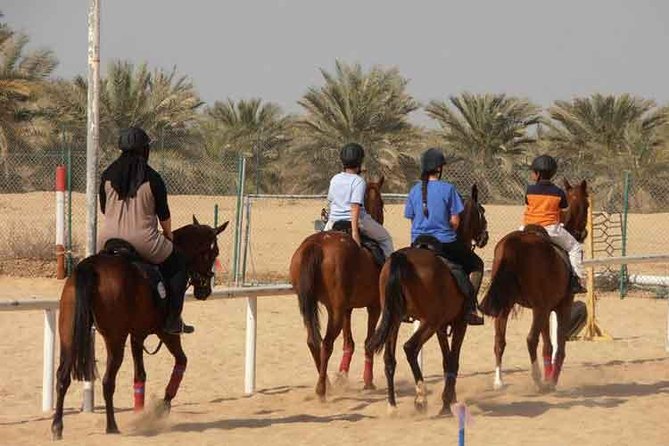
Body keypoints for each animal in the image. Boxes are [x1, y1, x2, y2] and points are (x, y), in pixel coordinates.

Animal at [49, 216, 227, 440]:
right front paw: (163, 406)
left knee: (62, 377)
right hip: (115, 341)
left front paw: (141, 412)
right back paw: (112, 426)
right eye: (214, 253)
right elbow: (182, 361)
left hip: (69, 337)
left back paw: (57, 427)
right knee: (108, 381)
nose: (205, 291)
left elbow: (140, 375)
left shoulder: (136, 336)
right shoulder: (165, 333)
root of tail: (90, 267)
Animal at [288, 176, 386, 398]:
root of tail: (317, 244)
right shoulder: (373, 307)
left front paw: (342, 375)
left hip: (322, 307)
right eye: (382, 203)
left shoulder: (347, 308)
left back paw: (326, 383)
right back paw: (322, 389)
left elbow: (349, 343)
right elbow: (367, 342)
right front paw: (368, 381)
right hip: (337, 312)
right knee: (326, 343)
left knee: (313, 341)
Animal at [362, 184, 488, 414]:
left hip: (395, 319)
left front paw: (449, 399)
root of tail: (400, 258)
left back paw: (392, 406)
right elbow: (453, 361)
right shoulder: (458, 324)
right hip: (429, 322)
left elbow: (447, 361)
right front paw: (447, 402)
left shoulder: (442, 327)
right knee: (410, 348)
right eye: (481, 212)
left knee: (389, 359)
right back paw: (420, 397)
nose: (485, 237)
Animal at [478, 180, 588, 390]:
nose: (584, 233)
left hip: (507, 305)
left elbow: (548, 347)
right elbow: (559, 347)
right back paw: (538, 379)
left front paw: (549, 377)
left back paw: (499, 381)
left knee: (499, 341)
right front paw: (551, 380)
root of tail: (512, 243)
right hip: (538, 308)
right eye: (587, 205)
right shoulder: (562, 306)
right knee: (530, 339)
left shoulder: (545, 309)